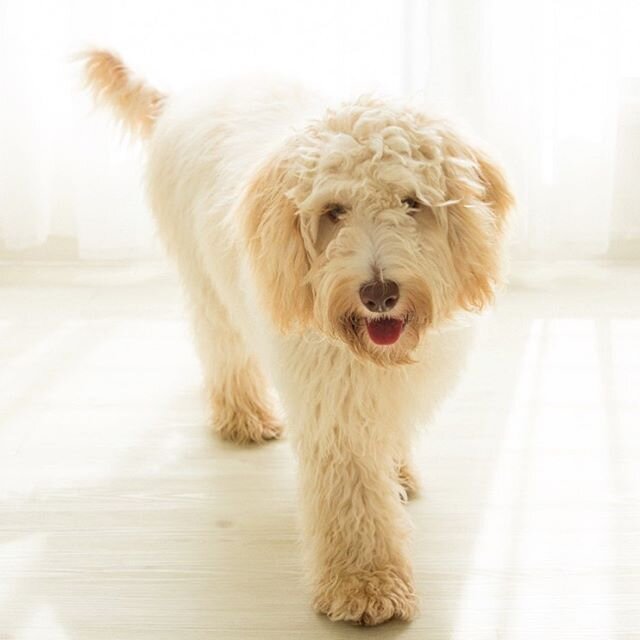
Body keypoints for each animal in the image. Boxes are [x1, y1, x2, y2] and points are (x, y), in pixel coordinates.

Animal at [81, 50, 510, 624]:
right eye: (334, 212)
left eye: (410, 202)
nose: (378, 294)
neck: (374, 356)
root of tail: (185, 98)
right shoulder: (334, 407)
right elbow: (354, 495)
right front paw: (366, 585)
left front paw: (396, 472)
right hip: (207, 281)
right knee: (222, 347)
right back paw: (243, 414)